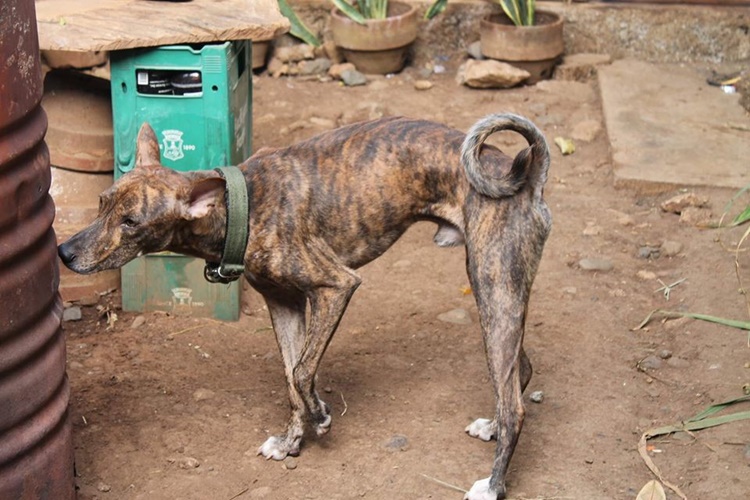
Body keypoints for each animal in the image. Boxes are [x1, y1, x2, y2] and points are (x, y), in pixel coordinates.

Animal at [58, 114, 551, 500]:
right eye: (101, 203)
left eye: (131, 222)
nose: (63, 252)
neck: (242, 205)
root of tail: (525, 172)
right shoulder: (284, 304)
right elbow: (290, 376)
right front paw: (293, 439)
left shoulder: (336, 286)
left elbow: (301, 371)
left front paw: (320, 416)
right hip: (498, 294)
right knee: (518, 374)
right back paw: (491, 426)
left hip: (491, 286)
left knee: (516, 405)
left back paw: (493, 485)